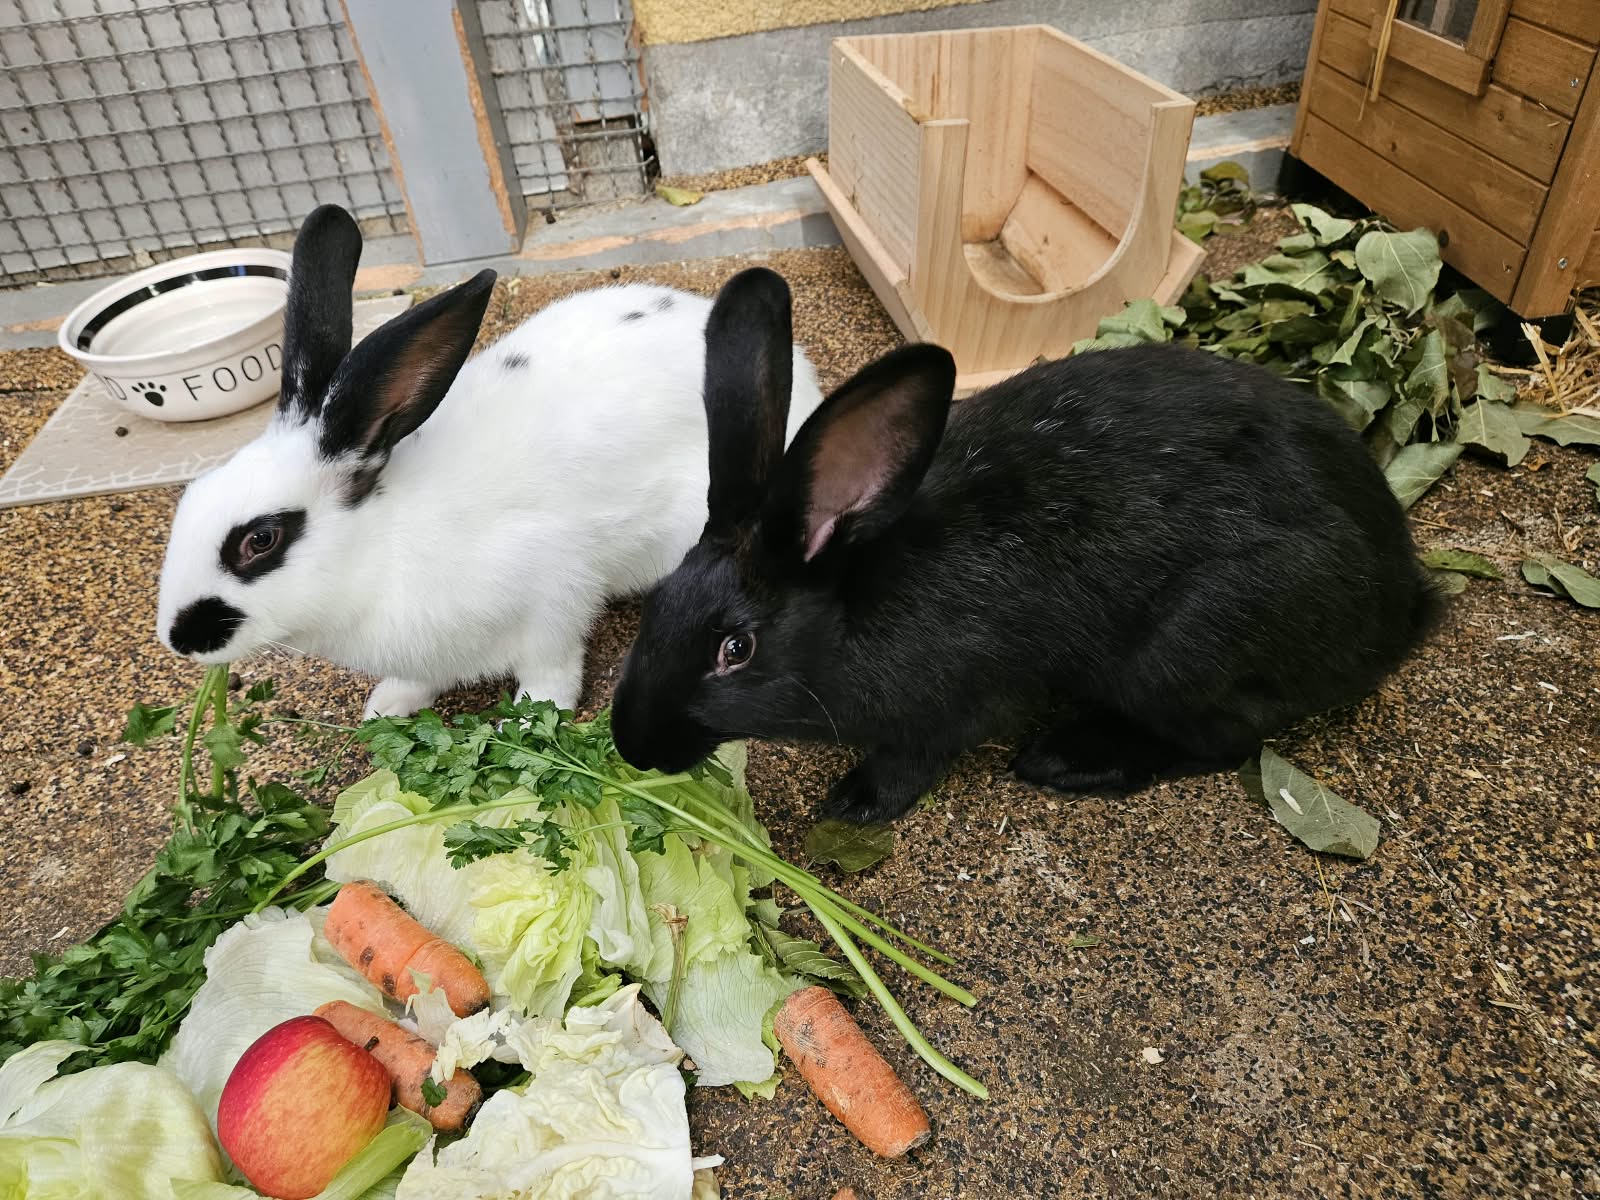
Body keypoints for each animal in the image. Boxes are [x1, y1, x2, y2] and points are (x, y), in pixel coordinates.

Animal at [156, 206, 824, 718]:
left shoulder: (554, 590)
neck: (382, 546)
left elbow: (551, 666)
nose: (178, 641)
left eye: (260, 540)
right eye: (191, 494)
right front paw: (385, 708)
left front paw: (531, 722)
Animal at [609, 267, 1443, 823]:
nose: (632, 746)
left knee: (1224, 742)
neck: (850, 612)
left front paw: (853, 803)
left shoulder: (950, 709)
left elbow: (909, 762)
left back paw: (1069, 761)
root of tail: (1399, 614)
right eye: (658, 604)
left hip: (1187, 656)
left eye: (736, 650)